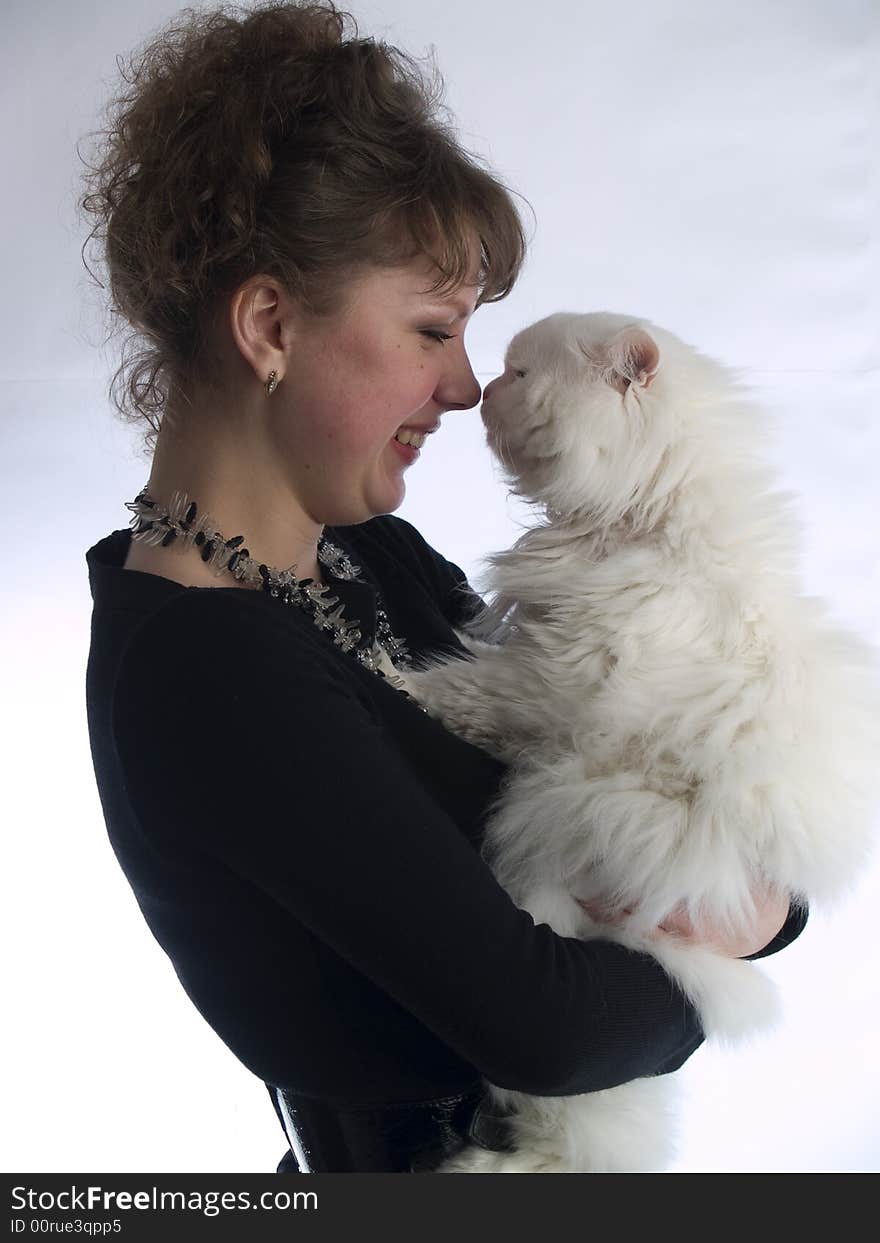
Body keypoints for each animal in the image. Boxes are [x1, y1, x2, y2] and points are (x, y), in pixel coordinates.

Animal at [397, 313, 879, 1173]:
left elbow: (463, 689)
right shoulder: (539, 659)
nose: (482, 390)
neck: (646, 524)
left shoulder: (549, 681)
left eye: (521, 373)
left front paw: (385, 670)